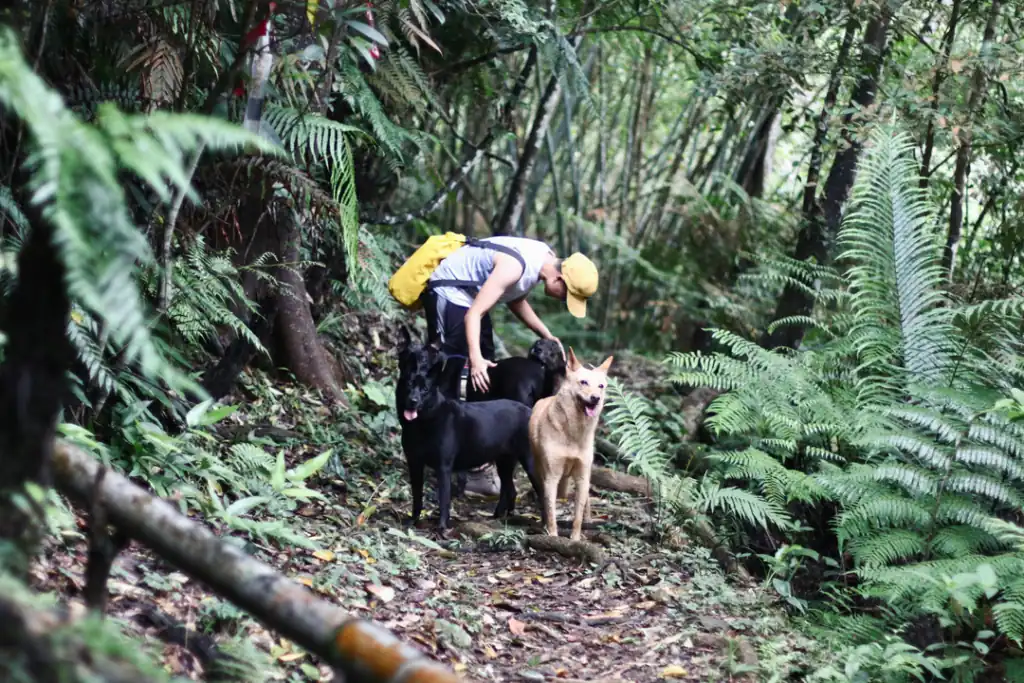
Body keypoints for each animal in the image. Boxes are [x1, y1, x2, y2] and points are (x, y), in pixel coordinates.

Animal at [395, 327, 548, 532]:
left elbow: (444, 500)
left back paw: (545, 525)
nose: (413, 401)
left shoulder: (443, 467)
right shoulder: (415, 463)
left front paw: (442, 528)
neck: (424, 420)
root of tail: (531, 411)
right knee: (510, 489)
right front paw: (413, 520)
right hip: (504, 461)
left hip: (529, 461)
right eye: (408, 385)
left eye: (425, 390)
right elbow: (417, 497)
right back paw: (499, 517)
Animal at [532, 350, 610, 540]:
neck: (573, 434)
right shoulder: (551, 476)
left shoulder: (582, 476)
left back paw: (589, 520)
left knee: (586, 500)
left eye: (601, 386)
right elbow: (551, 510)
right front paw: (552, 535)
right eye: (583, 382)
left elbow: (578, 514)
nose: (596, 398)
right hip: (539, 470)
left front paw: (575, 538)